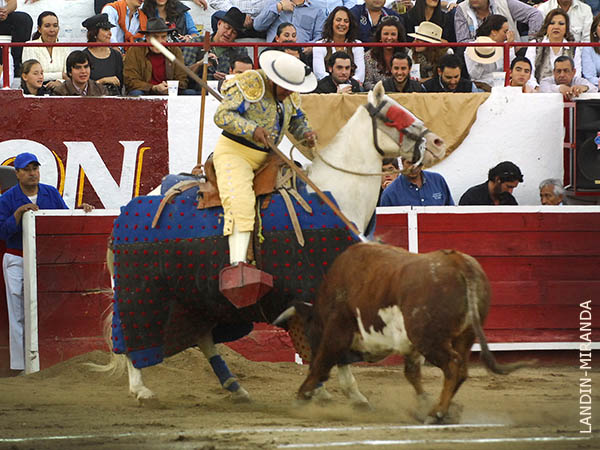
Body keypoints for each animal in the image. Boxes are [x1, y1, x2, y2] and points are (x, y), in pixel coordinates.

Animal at [90, 82, 446, 406]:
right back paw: (141, 389)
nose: (438, 142)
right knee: (133, 336)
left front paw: (323, 390)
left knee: (202, 337)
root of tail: (124, 214)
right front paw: (352, 394)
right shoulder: (318, 295)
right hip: (143, 295)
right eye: (394, 116)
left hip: (197, 299)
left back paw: (234, 386)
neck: (332, 194)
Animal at [278, 243, 532, 422]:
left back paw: (437, 414)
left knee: (452, 366)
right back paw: (439, 409)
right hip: (464, 336)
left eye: (308, 333)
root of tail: (459, 261)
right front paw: (423, 401)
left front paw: (301, 396)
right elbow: (412, 374)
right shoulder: (410, 346)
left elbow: (322, 363)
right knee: (461, 368)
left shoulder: (336, 332)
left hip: (430, 339)